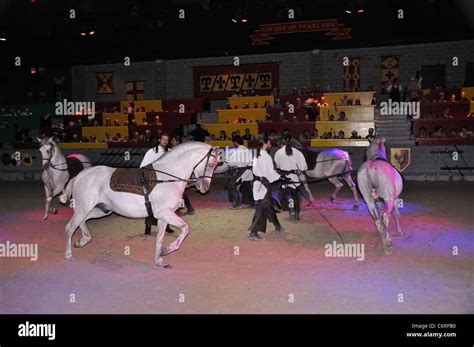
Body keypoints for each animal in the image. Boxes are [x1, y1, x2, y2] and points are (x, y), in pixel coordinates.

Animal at [58, 141, 220, 270]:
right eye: (211, 164)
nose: (204, 187)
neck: (166, 177)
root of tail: (80, 175)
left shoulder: (163, 216)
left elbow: (160, 238)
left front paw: (160, 259)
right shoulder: (164, 213)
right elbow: (185, 228)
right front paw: (167, 250)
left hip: (101, 209)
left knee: (82, 222)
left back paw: (82, 241)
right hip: (83, 207)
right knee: (69, 228)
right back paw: (68, 255)